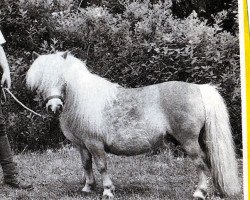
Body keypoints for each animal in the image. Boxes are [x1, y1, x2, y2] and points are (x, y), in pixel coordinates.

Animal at [25, 52, 240, 199]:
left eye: (63, 80)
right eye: (41, 82)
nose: (54, 106)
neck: (81, 100)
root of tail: (199, 88)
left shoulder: (95, 144)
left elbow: (102, 166)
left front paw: (107, 191)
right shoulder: (82, 145)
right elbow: (86, 164)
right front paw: (87, 188)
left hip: (189, 142)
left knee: (201, 163)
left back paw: (199, 192)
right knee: (210, 161)